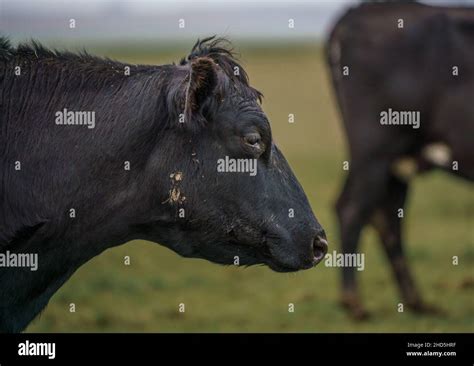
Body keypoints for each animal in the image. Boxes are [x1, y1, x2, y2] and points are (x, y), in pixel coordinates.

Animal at [326, 2, 474, 318]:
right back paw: (354, 303)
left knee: (385, 216)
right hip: (376, 151)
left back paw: (416, 301)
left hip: (387, 160)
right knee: (354, 209)